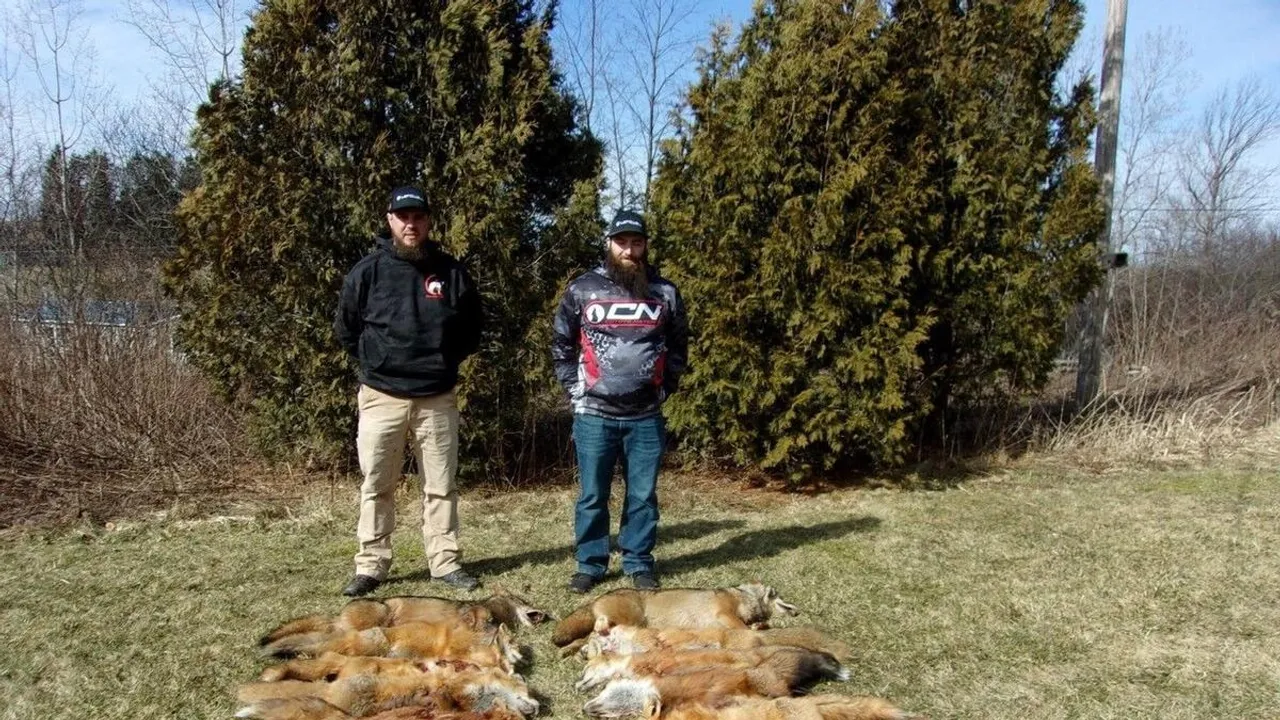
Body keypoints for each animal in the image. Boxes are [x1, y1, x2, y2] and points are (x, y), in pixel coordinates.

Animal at [552, 583, 799, 650]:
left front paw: (761, 626)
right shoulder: (725, 613)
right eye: (779, 594)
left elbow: (758, 626)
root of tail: (596, 598)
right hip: (630, 622)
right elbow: (745, 628)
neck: (744, 595)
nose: (798, 611)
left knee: (583, 639)